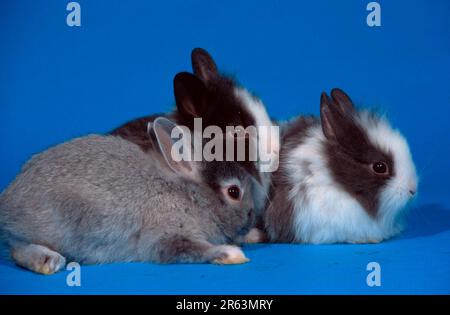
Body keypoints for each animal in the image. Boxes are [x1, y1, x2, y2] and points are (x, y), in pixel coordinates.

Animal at [0, 117, 255, 276]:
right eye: (234, 192)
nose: (253, 213)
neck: (191, 196)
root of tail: (7, 203)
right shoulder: (167, 234)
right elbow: (191, 249)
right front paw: (231, 254)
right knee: (16, 248)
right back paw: (48, 261)